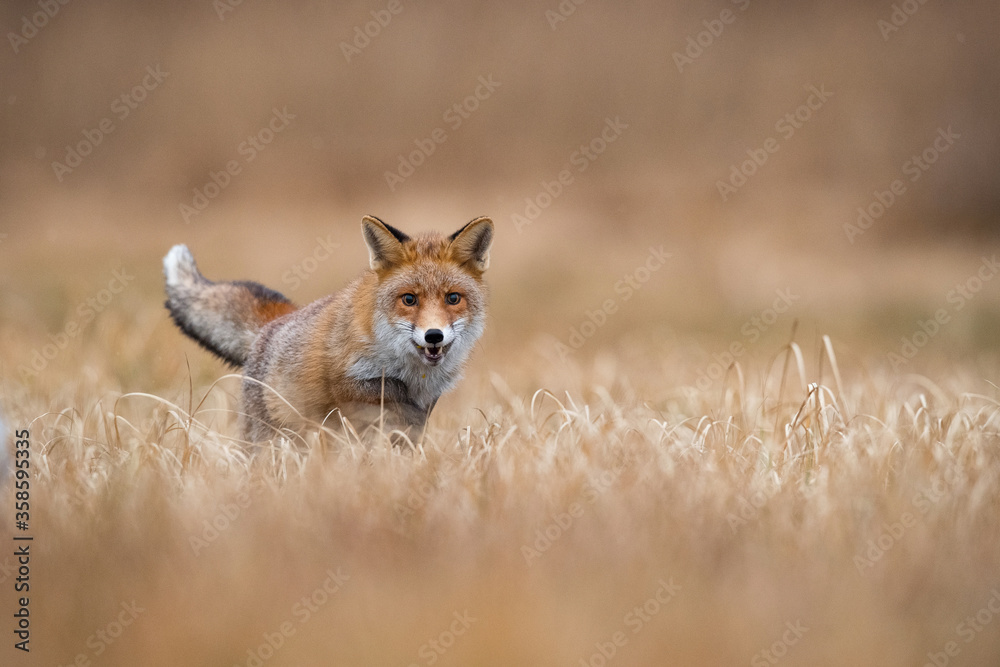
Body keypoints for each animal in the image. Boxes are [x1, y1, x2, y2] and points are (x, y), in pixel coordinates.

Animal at [163, 215, 493, 442]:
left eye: (453, 298)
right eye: (409, 299)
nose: (433, 335)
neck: (415, 372)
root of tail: (273, 323)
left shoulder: (431, 395)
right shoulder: (342, 380)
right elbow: (391, 391)